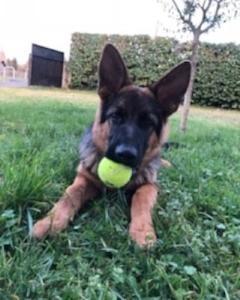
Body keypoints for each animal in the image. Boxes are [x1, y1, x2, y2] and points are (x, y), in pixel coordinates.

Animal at [31, 44, 190, 246]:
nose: (125, 154)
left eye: (148, 123)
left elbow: (141, 198)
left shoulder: (150, 186)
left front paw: (143, 231)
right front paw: (50, 222)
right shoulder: (83, 178)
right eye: (116, 116)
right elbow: (70, 194)